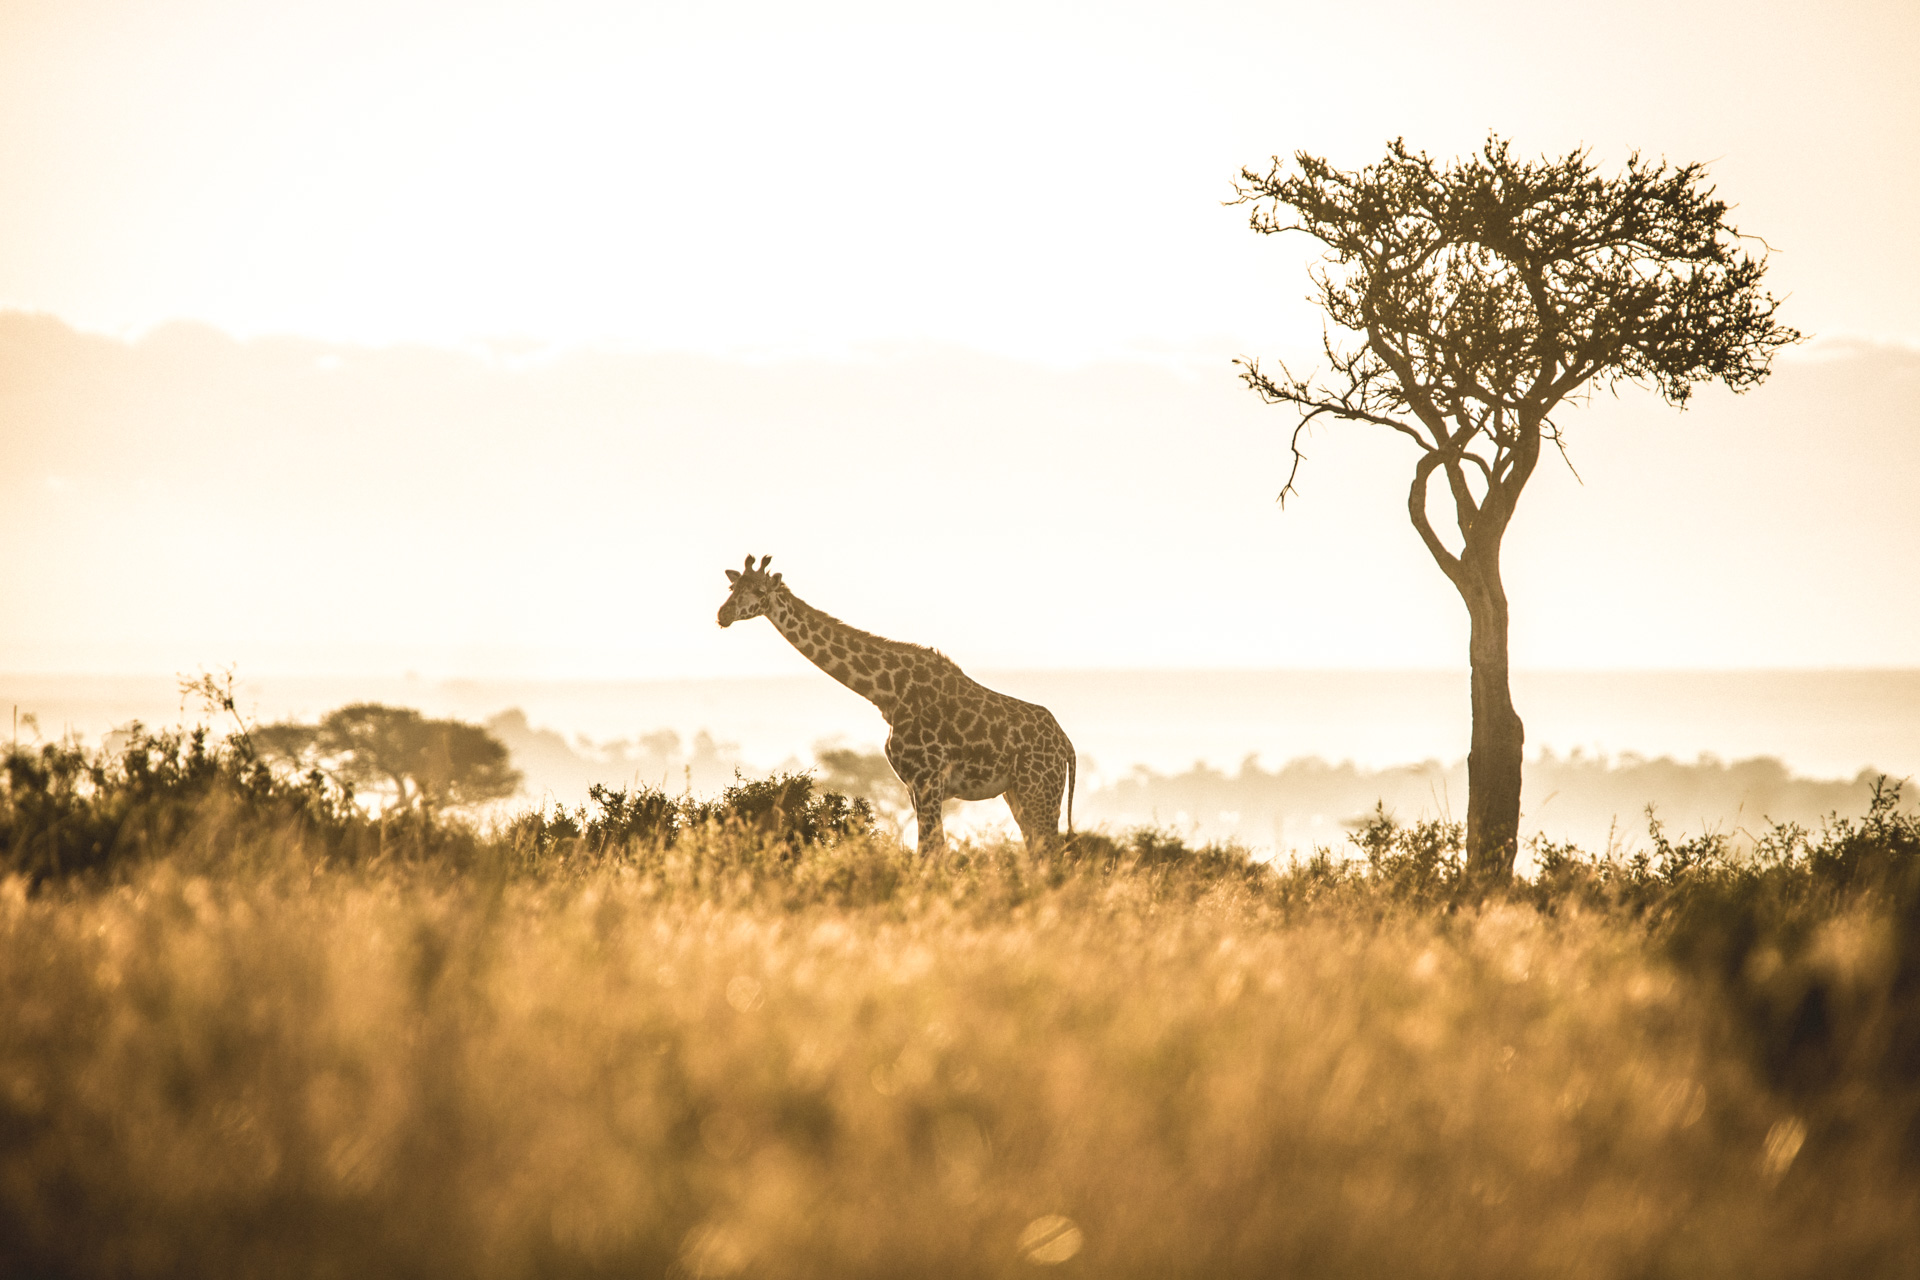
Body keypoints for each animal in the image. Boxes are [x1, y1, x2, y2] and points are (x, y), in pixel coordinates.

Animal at [716, 554, 1076, 857]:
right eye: (733, 587)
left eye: (759, 590)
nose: (723, 615)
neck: (887, 693)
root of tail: (1066, 745)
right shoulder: (913, 785)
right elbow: (933, 850)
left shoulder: (928, 780)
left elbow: (930, 850)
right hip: (1017, 793)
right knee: (1038, 852)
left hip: (1039, 789)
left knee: (1052, 852)